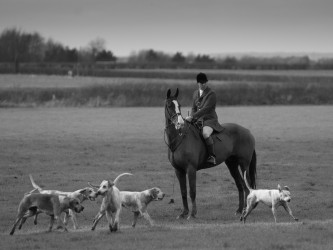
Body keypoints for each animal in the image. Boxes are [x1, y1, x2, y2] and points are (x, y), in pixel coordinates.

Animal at [165, 89, 255, 220]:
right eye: (169, 105)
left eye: (179, 105)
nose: (180, 123)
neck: (179, 138)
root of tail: (248, 131)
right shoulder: (179, 170)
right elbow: (183, 191)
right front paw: (184, 213)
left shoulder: (191, 169)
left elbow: (192, 191)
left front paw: (192, 214)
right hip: (232, 165)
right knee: (240, 185)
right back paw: (239, 210)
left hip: (244, 165)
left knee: (247, 187)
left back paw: (245, 210)